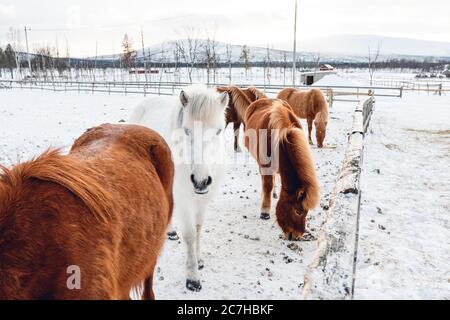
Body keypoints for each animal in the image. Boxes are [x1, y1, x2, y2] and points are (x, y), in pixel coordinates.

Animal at [129, 85, 229, 292]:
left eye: (218, 131)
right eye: (187, 130)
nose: (201, 181)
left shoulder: (202, 200)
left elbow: (198, 228)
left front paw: (199, 260)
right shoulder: (184, 199)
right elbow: (190, 234)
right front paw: (192, 277)